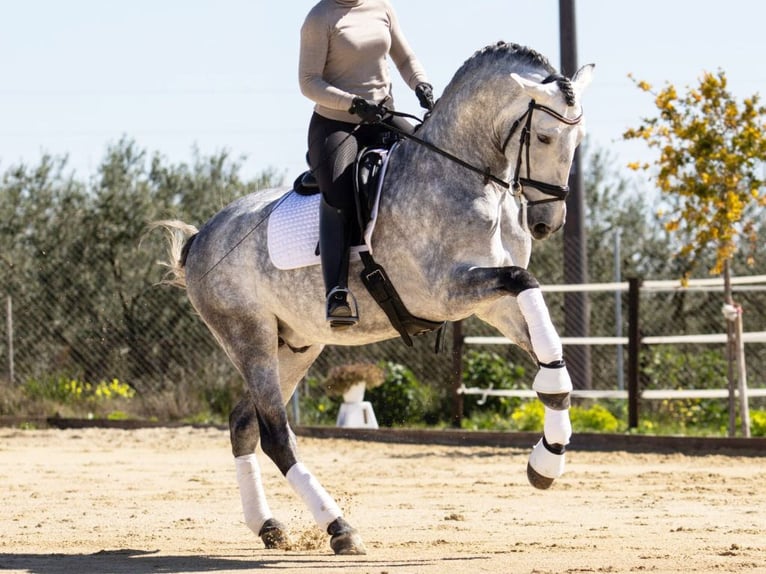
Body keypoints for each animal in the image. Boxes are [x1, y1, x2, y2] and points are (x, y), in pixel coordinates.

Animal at [159, 42, 596, 556]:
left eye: (578, 138)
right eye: (545, 137)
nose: (549, 222)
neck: (461, 175)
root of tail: (201, 238)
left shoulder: (492, 303)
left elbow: (545, 341)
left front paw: (547, 458)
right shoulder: (446, 292)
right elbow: (524, 277)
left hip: (296, 345)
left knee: (243, 423)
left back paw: (268, 526)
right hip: (250, 338)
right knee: (275, 434)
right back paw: (339, 528)